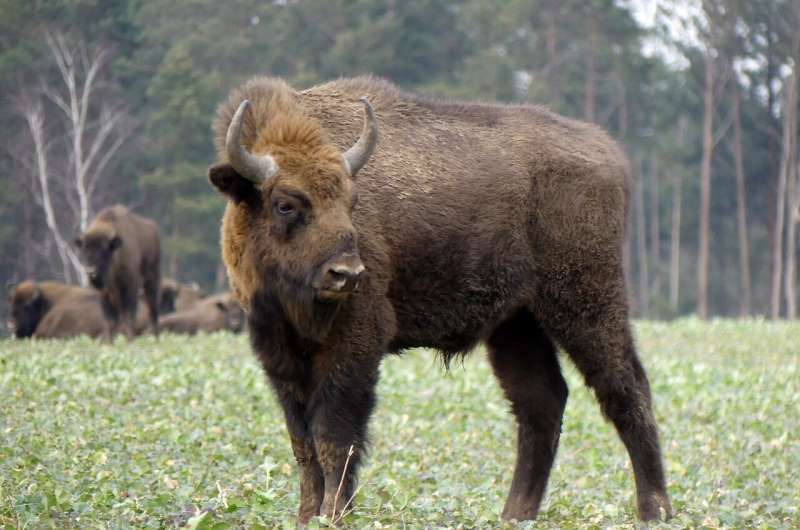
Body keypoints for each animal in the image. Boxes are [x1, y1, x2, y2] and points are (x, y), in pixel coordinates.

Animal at [76, 205, 161, 338]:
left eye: (103, 250)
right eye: (84, 249)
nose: (90, 271)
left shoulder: (130, 285)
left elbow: (129, 315)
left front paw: (130, 339)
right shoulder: (105, 293)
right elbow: (110, 320)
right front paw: (109, 341)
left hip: (152, 280)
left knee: (152, 309)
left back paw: (155, 337)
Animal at [208, 76, 672, 524]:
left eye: (352, 201)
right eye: (285, 204)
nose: (347, 273)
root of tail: (608, 152)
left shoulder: (354, 347)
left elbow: (333, 439)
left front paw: (334, 515)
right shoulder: (280, 357)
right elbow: (302, 444)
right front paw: (307, 516)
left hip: (587, 304)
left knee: (627, 391)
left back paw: (655, 511)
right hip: (517, 325)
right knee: (542, 403)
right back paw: (514, 514)